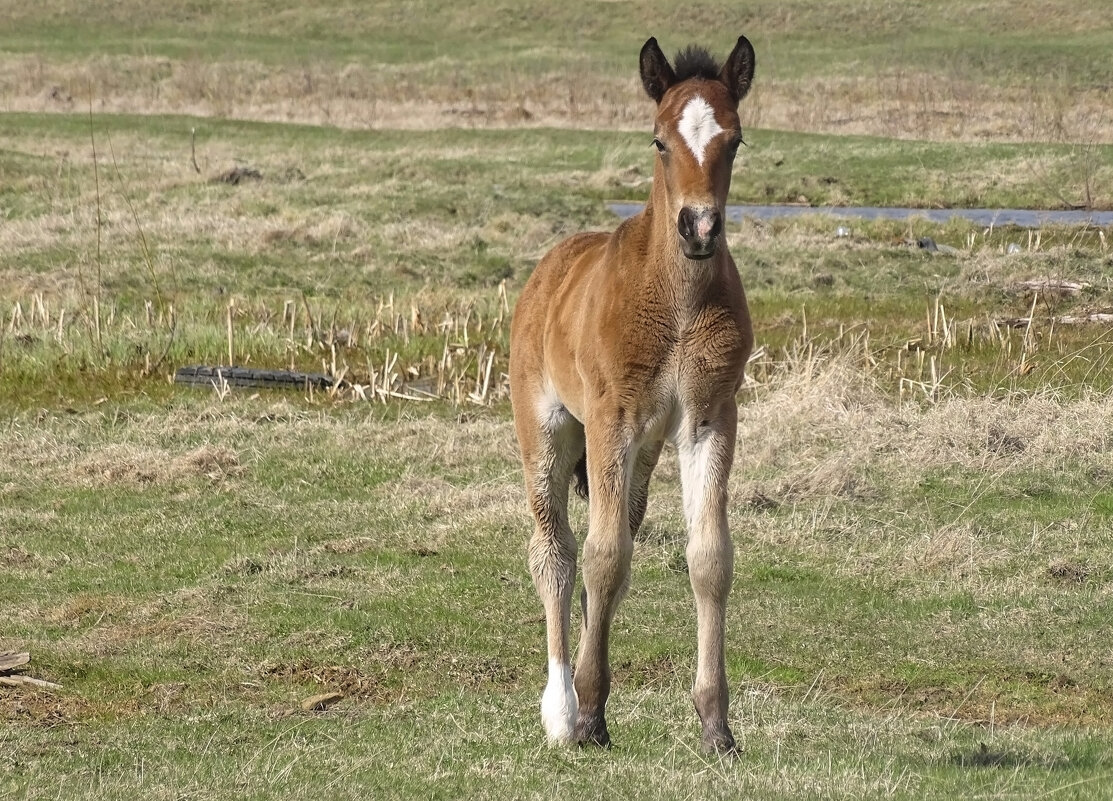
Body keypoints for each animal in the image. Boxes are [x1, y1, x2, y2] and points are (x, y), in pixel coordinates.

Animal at [509, 34, 756, 752]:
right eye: (659, 141)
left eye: (734, 140)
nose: (699, 228)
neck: (677, 302)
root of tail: (547, 269)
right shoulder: (609, 418)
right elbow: (602, 556)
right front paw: (589, 712)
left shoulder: (709, 418)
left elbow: (707, 558)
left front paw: (716, 724)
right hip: (547, 430)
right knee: (556, 551)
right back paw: (560, 707)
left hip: (644, 452)